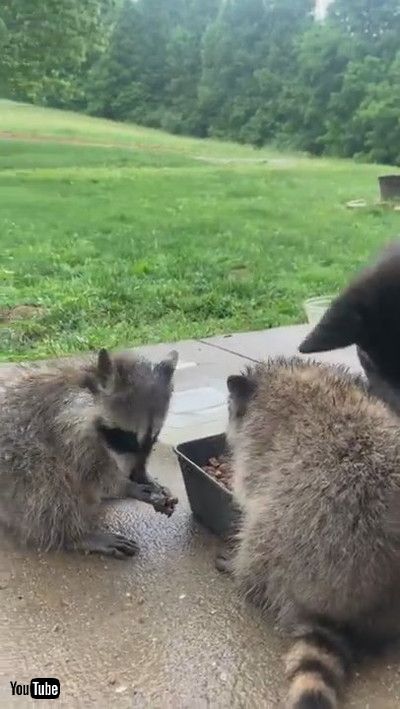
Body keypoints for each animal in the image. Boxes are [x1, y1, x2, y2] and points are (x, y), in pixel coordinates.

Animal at [0, 348, 178, 557]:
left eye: (154, 438)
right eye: (127, 437)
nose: (137, 475)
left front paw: (146, 480)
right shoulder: (66, 427)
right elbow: (90, 472)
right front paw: (126, 486)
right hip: (12, 468)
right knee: (47, 481)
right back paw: (74, 536)